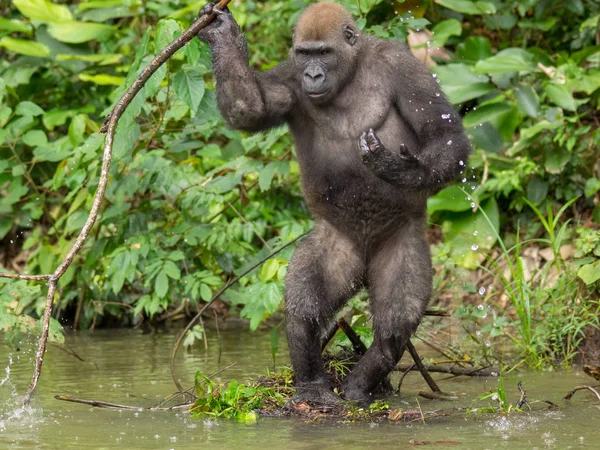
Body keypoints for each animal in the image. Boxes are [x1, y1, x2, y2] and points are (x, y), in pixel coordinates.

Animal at [199, 1, 472, 402]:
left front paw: (401, 170)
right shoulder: (288, 75)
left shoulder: (402, 65)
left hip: (403, 237)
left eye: (324, 53)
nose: (312, 74)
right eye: (305, 54)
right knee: (305, 309)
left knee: (396, 321)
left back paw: (361, 384)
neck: (350, 69)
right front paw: (222, 36)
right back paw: (313, 384)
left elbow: (444, 133)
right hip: (339, 243)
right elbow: (248, 108)